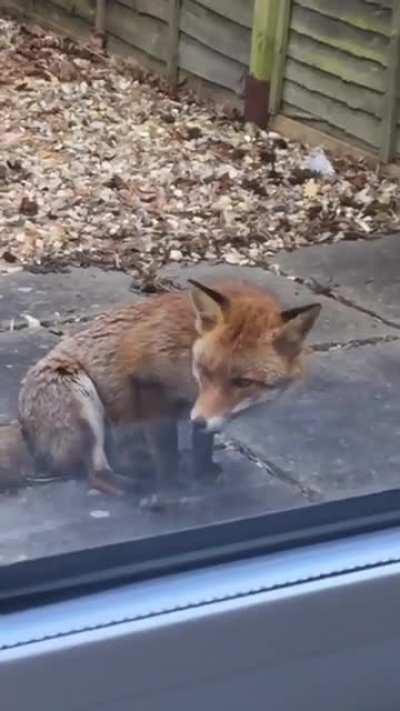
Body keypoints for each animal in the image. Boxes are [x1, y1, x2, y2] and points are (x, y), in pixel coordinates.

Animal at [0, 279, 320, 496]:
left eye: (243, 382)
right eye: (204, 370)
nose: (198, 420)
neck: (189, 346)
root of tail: (23, 426)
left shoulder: (202, 409)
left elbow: (202, 439)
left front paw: (201, 470)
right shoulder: (148, 383)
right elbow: (166, 449)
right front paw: (172, 486)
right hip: (80, 399)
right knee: (95, 474)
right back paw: (140, 489)